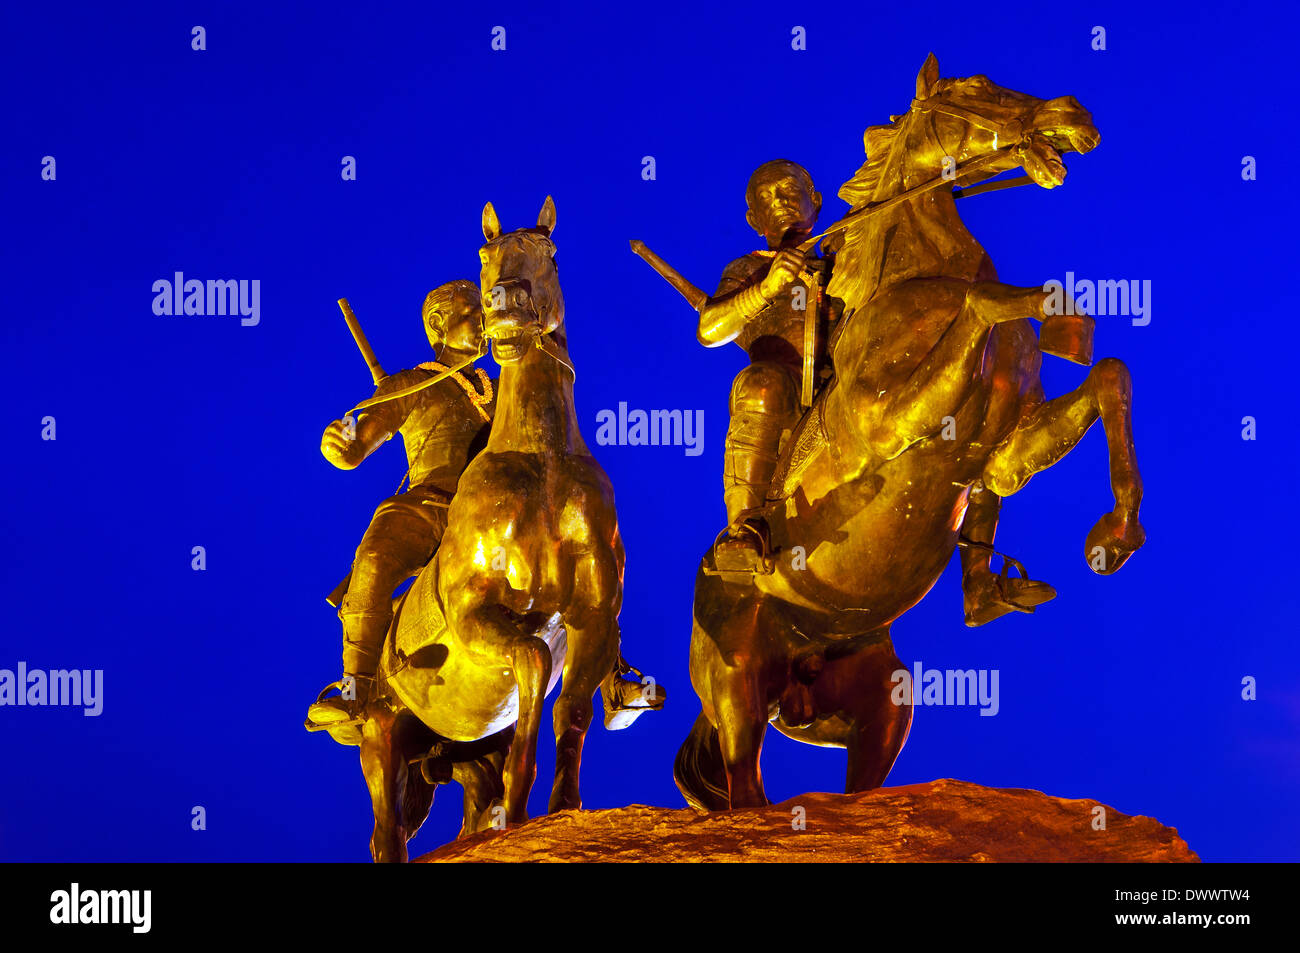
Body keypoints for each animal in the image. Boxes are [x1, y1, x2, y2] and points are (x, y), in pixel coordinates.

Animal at [676, 53, 1144, 811]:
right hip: (737, 683)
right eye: (974, 88)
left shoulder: (1006, 447)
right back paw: (743, 546)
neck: (916, 281)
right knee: (744, 790)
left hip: (877, 699)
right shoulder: (891, 420)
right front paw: (1048, 304)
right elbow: (987, 300)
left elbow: (1107, 378)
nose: (1074, 113)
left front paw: (1116, 534)